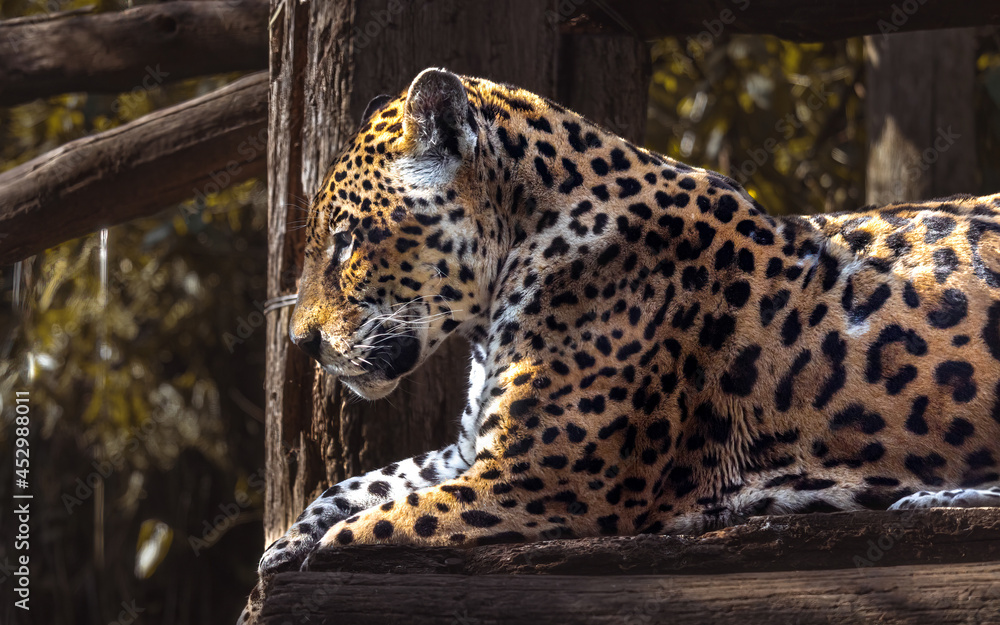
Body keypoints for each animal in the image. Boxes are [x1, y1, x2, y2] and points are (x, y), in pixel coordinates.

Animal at [240, 67, 1000, 623]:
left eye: (347, 240)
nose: (302, 342)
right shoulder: (473, 451)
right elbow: (358, 486)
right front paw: (284, 543)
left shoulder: (534, 482)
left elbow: (374, 526)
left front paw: (301, 561)